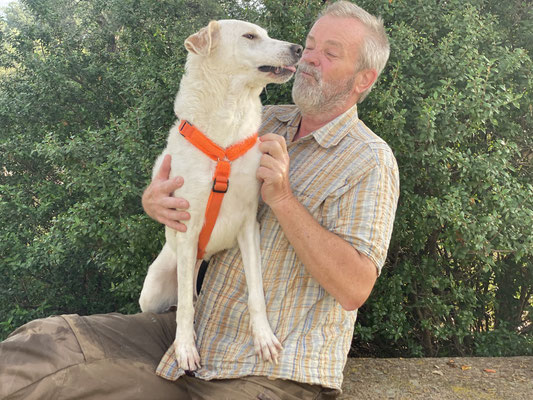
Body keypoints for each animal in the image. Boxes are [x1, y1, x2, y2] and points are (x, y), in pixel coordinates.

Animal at [139, 20, 302, 371]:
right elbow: (186, 308)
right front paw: (185, 348)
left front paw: (263, 338)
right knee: (178, 302)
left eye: (266, 33)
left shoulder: (249, 225)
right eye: (250, 36)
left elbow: (256, 292)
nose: (299, 49)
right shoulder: (186, 227)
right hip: (155, 285)